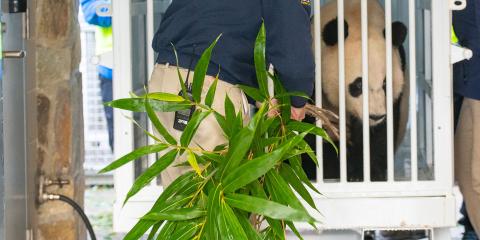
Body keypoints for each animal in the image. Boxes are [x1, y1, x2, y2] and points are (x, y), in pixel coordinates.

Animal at [302, 0, 406, 181]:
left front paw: (367, 171)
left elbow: (381, 133)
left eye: (385, 83)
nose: (375, 116)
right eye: (358, 85)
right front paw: (337, 165)